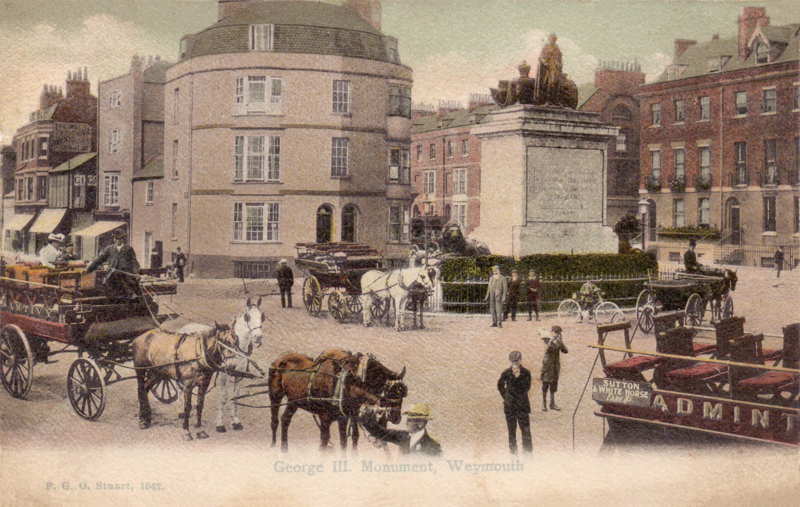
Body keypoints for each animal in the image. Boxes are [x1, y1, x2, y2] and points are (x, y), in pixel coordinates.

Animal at [177, 298, 264, 432]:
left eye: (262, 316)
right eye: (247, 317)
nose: (258, 337)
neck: (236, 347)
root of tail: (184, 328)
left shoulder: (240, 374)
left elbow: (236, 396)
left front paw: (236, 421)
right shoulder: (225, 374)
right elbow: (224, 397)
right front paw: (220, 424)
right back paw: (182, 411)